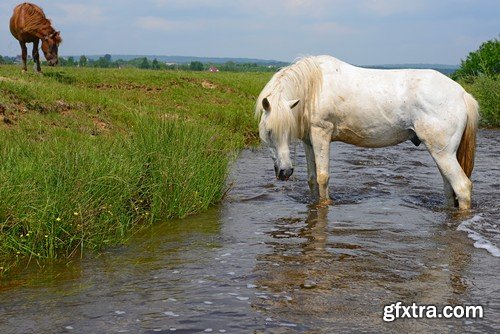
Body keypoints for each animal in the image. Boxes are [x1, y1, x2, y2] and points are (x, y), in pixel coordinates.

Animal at [256, 56, 478, 210]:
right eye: (269, 133)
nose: (285, 172)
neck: (314, 88)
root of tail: (461, 93)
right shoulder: (309, 141)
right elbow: (312, 179)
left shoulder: (322, 134)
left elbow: (322, 177)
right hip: (442, 154)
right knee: (449, 188)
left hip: (443, 153)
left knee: (462, 187)